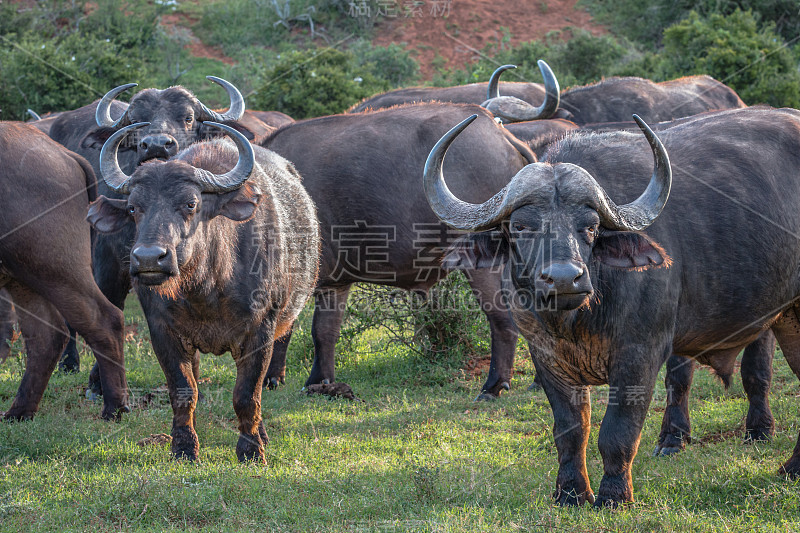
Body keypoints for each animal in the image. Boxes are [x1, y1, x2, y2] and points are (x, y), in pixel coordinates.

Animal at [0, 121, 127, 420]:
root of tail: (63, 153)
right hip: (23, 276)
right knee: (45, 337)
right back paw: (19, 411)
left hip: (54, 267)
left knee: (105, 320)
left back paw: (113, 407)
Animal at [84, 121, 316, 462]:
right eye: (133, 208)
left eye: (191, 204)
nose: (149, 258)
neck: (207, 287)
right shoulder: (162, 330)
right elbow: (183, 390)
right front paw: (184, 447)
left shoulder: (260, 331)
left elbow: (247, 394)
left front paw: (251, 449)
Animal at [262, 103, 536, 400]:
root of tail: (502, 134)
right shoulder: (335, 282)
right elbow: (324, 331)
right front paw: (320, 381)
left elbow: (282, 332)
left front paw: (272, 378)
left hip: (483, 266)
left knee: (503, 320)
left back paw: (493, 385)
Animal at [428, 106, 800, 504]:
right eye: (521, 227)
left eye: (590, 227)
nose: (564, 278)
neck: (576, 321)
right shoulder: (546, 359)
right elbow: (571, 430)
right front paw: (571, 494)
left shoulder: (640, 354)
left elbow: (618, 431)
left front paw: (613, 496)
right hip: (787, 318)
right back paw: (787, 466)